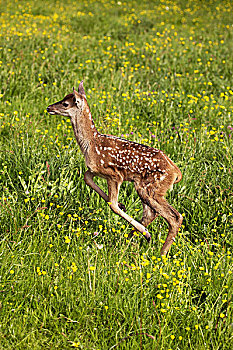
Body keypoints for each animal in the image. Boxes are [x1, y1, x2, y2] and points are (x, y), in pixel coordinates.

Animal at [46, 80, 183, 256]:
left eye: (65, 103)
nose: (49, 107)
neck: (91, 144)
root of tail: (176, 172)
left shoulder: (115, 175)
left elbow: (112, 204)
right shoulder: (95, 170)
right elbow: (87, 178)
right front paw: (123, 205)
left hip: (152, 187)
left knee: (174, 217)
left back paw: (159, 252)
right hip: (145, 187)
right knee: (151, 213)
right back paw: (132, 238)